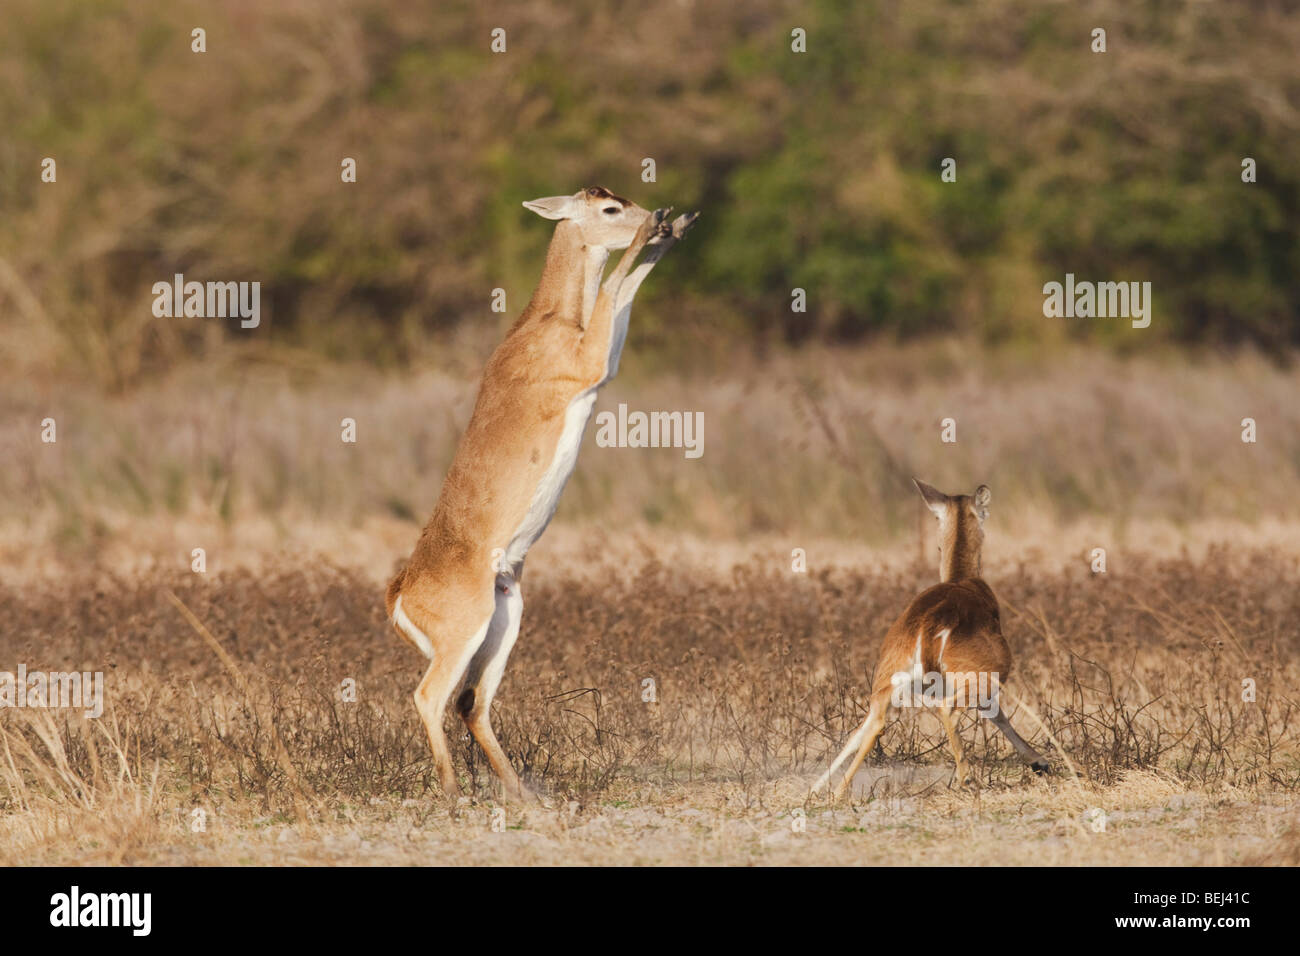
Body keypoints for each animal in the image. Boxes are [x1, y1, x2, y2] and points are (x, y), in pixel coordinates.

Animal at [385, 187, 699, 800]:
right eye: (608, 208)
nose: (653, 216)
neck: (547, 320)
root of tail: (400, 593)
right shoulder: (590, 363)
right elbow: (615, 287)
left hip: (505, 616)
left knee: (471, 703)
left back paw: (523, 793)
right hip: (466, 631)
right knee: (431, 697)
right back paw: (454, 792)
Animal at [813, 479, 1050, 801]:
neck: (964, 579)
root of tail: (928, 626)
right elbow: (997, 714)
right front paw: (1040, 762)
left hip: (889, 679)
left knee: (870, 723)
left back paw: (828, 790)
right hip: (982, 674)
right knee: (948, 708)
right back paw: (967, 778)